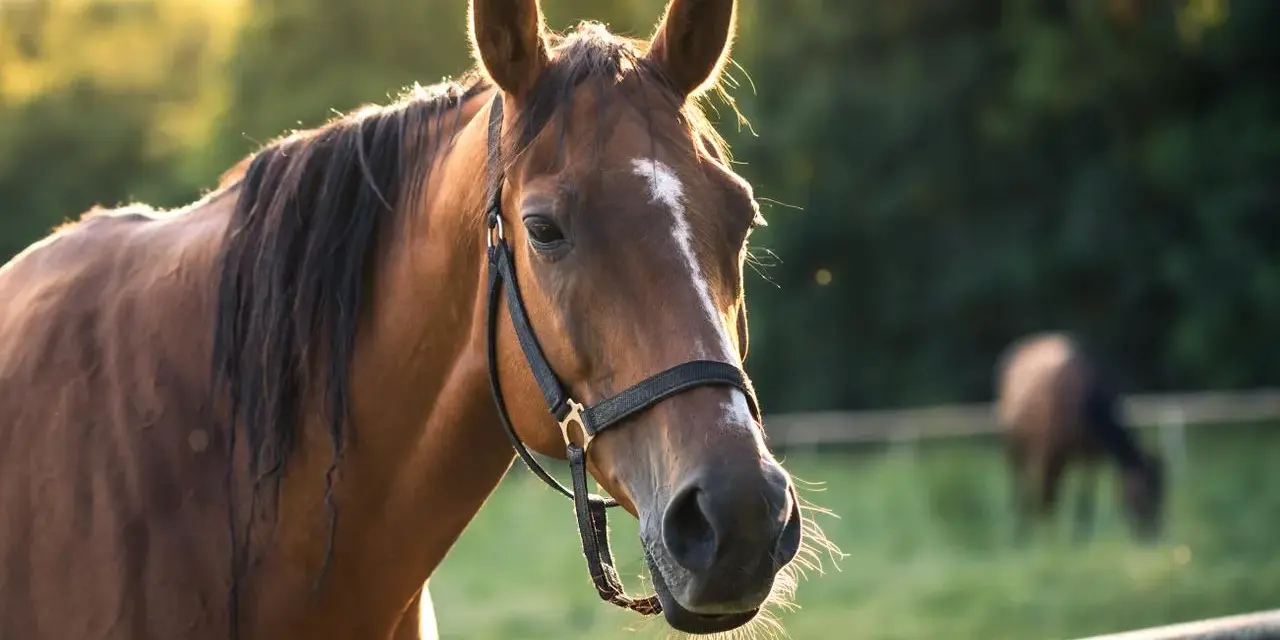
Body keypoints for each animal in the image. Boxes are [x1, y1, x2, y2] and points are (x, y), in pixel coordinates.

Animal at [995, 332, 1166, 544]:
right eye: (1145, 493)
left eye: (1162, 494)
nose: (1153, 535)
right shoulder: (1048, 453)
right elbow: (1045, 494)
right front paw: (1046, 538)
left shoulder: (1091, 457)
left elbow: (1085, 495)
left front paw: (1080, 536)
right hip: (1014, 448)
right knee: (1019, 485)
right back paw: (1018, 532)